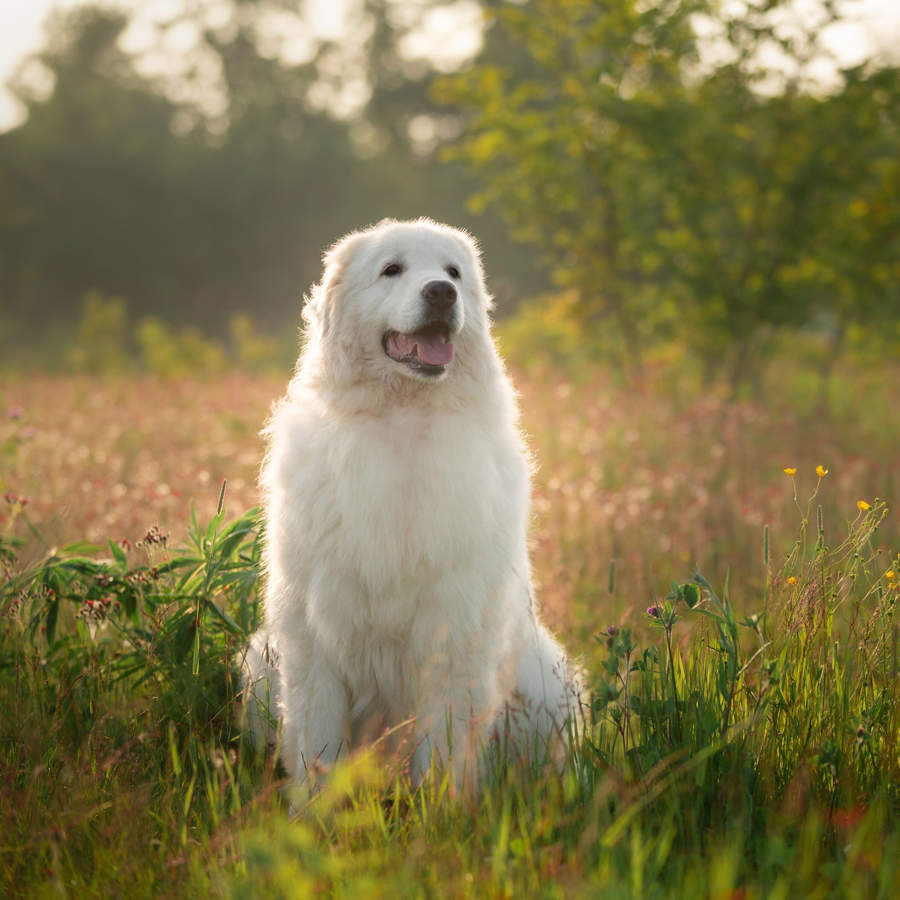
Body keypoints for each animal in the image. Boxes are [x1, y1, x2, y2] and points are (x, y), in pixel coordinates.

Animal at [244, 220, 584, 788]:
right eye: (392, 269)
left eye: (453, 272)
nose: (441, 293)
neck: (401, 417)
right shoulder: (314, 634)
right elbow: (318, 743)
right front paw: (314, 808)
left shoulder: (454, 630)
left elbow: (442, 749)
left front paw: (437, 808)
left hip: (546, 684)